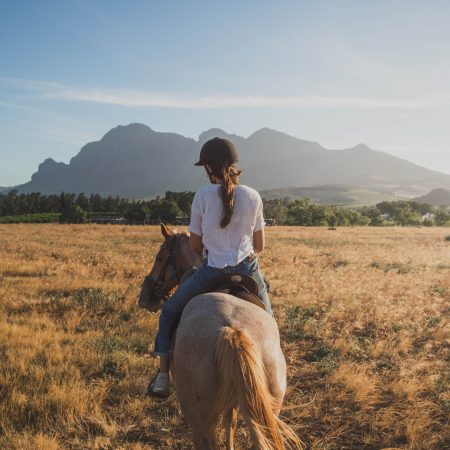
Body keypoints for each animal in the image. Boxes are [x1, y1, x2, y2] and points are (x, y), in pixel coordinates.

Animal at [142, 225, 302, 450]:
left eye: (160, 256)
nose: (148, 296)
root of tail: (233, 329)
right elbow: (231, 421)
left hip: (200, 417)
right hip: (270, 405)